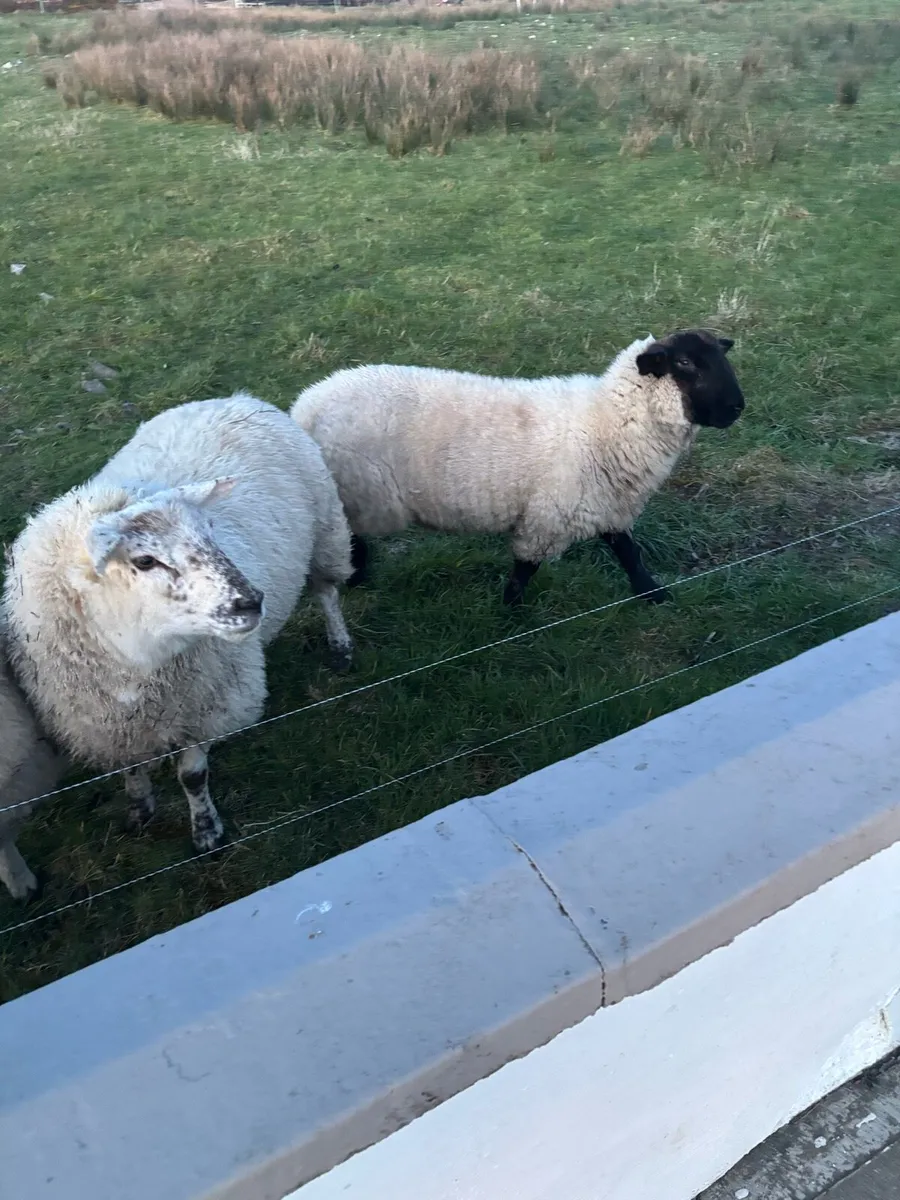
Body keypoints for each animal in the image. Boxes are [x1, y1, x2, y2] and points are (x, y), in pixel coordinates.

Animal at [2, 392, 354, 855]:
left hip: (327, 530)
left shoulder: (204, 709)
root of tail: (233, 398)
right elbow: (131, 769)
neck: (138, 667)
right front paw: (139, 808)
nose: (251, 602)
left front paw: (206, 830)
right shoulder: (110, 725)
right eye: (144, 561)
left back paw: (340, 646)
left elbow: (192, 776)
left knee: (327, 593)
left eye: (211, 530)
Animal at [290, 329, 744, 606]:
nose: (738, 407)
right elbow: (525, 567)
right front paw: (511, 613)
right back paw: (356, 576)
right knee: (349, 536)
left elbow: (628, 552)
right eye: (685, 364)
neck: (607, 422)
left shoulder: (606, 503)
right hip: (356, 491)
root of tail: (305, 406)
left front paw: (652, 594)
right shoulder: (550, 514)